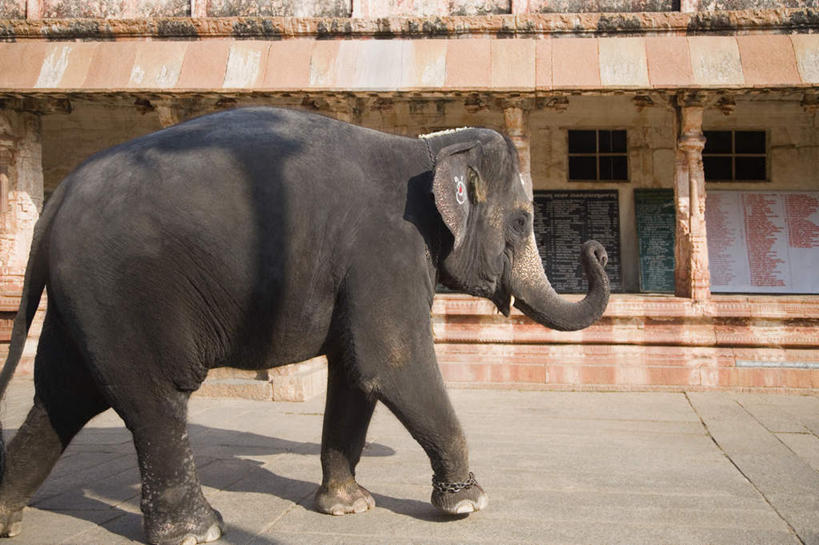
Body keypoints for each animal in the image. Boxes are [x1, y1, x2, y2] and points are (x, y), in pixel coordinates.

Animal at [0, 107, 608, 544]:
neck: (428, 145)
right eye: (523, 221)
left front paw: (347, 506)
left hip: (85, 301)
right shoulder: (386, 248)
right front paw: (468, 504)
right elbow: (392, 362)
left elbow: (355, 372)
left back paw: (9, 519)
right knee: (153, 399)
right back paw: (200, 532)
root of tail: (56, 202)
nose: (596, 248)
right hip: (125, 292)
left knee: (63, 396)